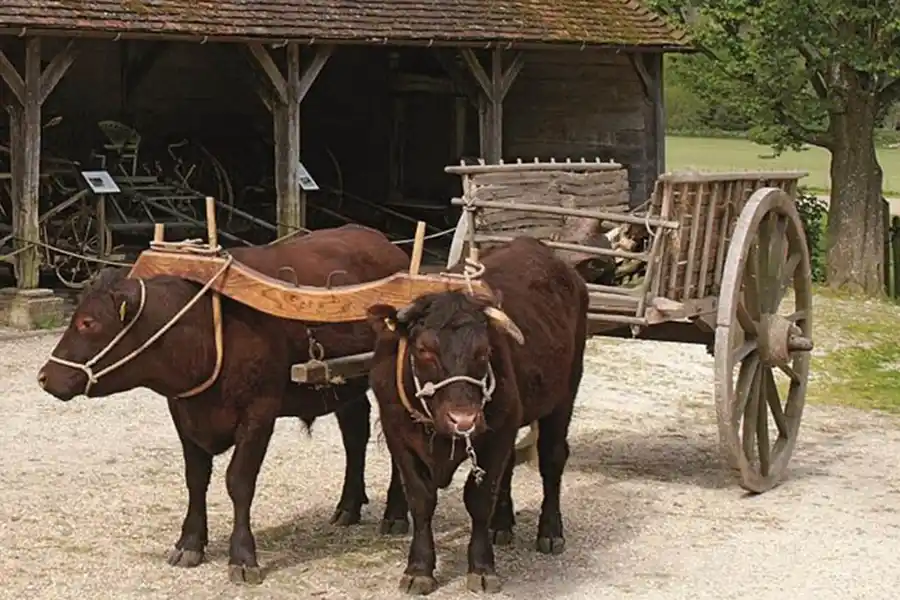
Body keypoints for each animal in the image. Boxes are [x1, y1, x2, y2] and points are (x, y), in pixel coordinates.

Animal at [36, 224, 413, 585]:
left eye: (88, 323)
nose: (44, 377)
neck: (208, 328)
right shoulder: (182, 410)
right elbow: (195, 478)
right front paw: (189, 544)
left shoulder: (260, 411)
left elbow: (239, 482)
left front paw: (243, 558)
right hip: (345, 386)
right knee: (355, 433)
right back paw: (348, 506)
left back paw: (395, 514)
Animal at [365, 235, 589, 595]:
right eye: (424, 349)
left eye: (484, 351)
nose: (464, 420)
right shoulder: (397, 431)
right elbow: (421, 499)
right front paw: (419, 569)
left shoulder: (497, 430)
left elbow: (480, 497)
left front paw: (482, 567)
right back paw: (502, 525)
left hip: (564, 394)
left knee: (552, 459)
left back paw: (551, 532)